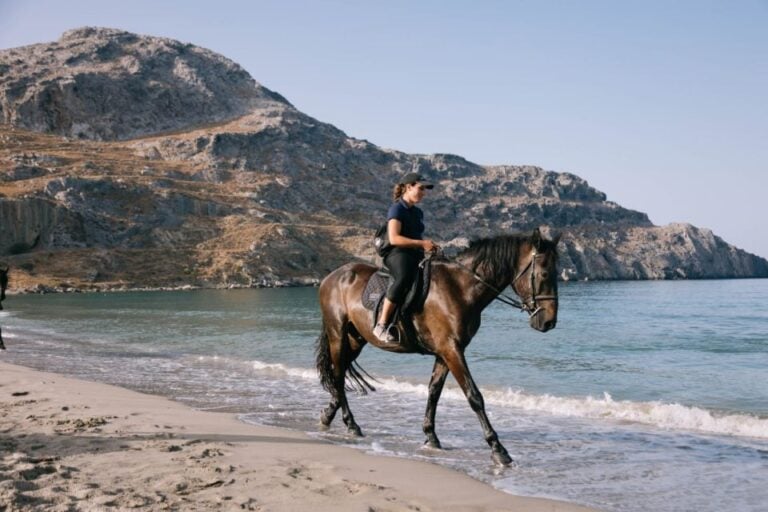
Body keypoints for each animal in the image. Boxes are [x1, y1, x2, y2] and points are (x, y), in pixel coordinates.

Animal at [316, 228, 560, 464]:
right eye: (545, 274)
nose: (549, 322)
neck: (460, 288)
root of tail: (331, 276)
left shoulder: (445, 352)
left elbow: (434, 391)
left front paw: (430, 436)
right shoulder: (452, 350)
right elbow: (474, 396)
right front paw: (498, 449)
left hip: (356, 339)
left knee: (339, 373)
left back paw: (329, 414)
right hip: (338, 334)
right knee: (338, 374)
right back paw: (350, 423)